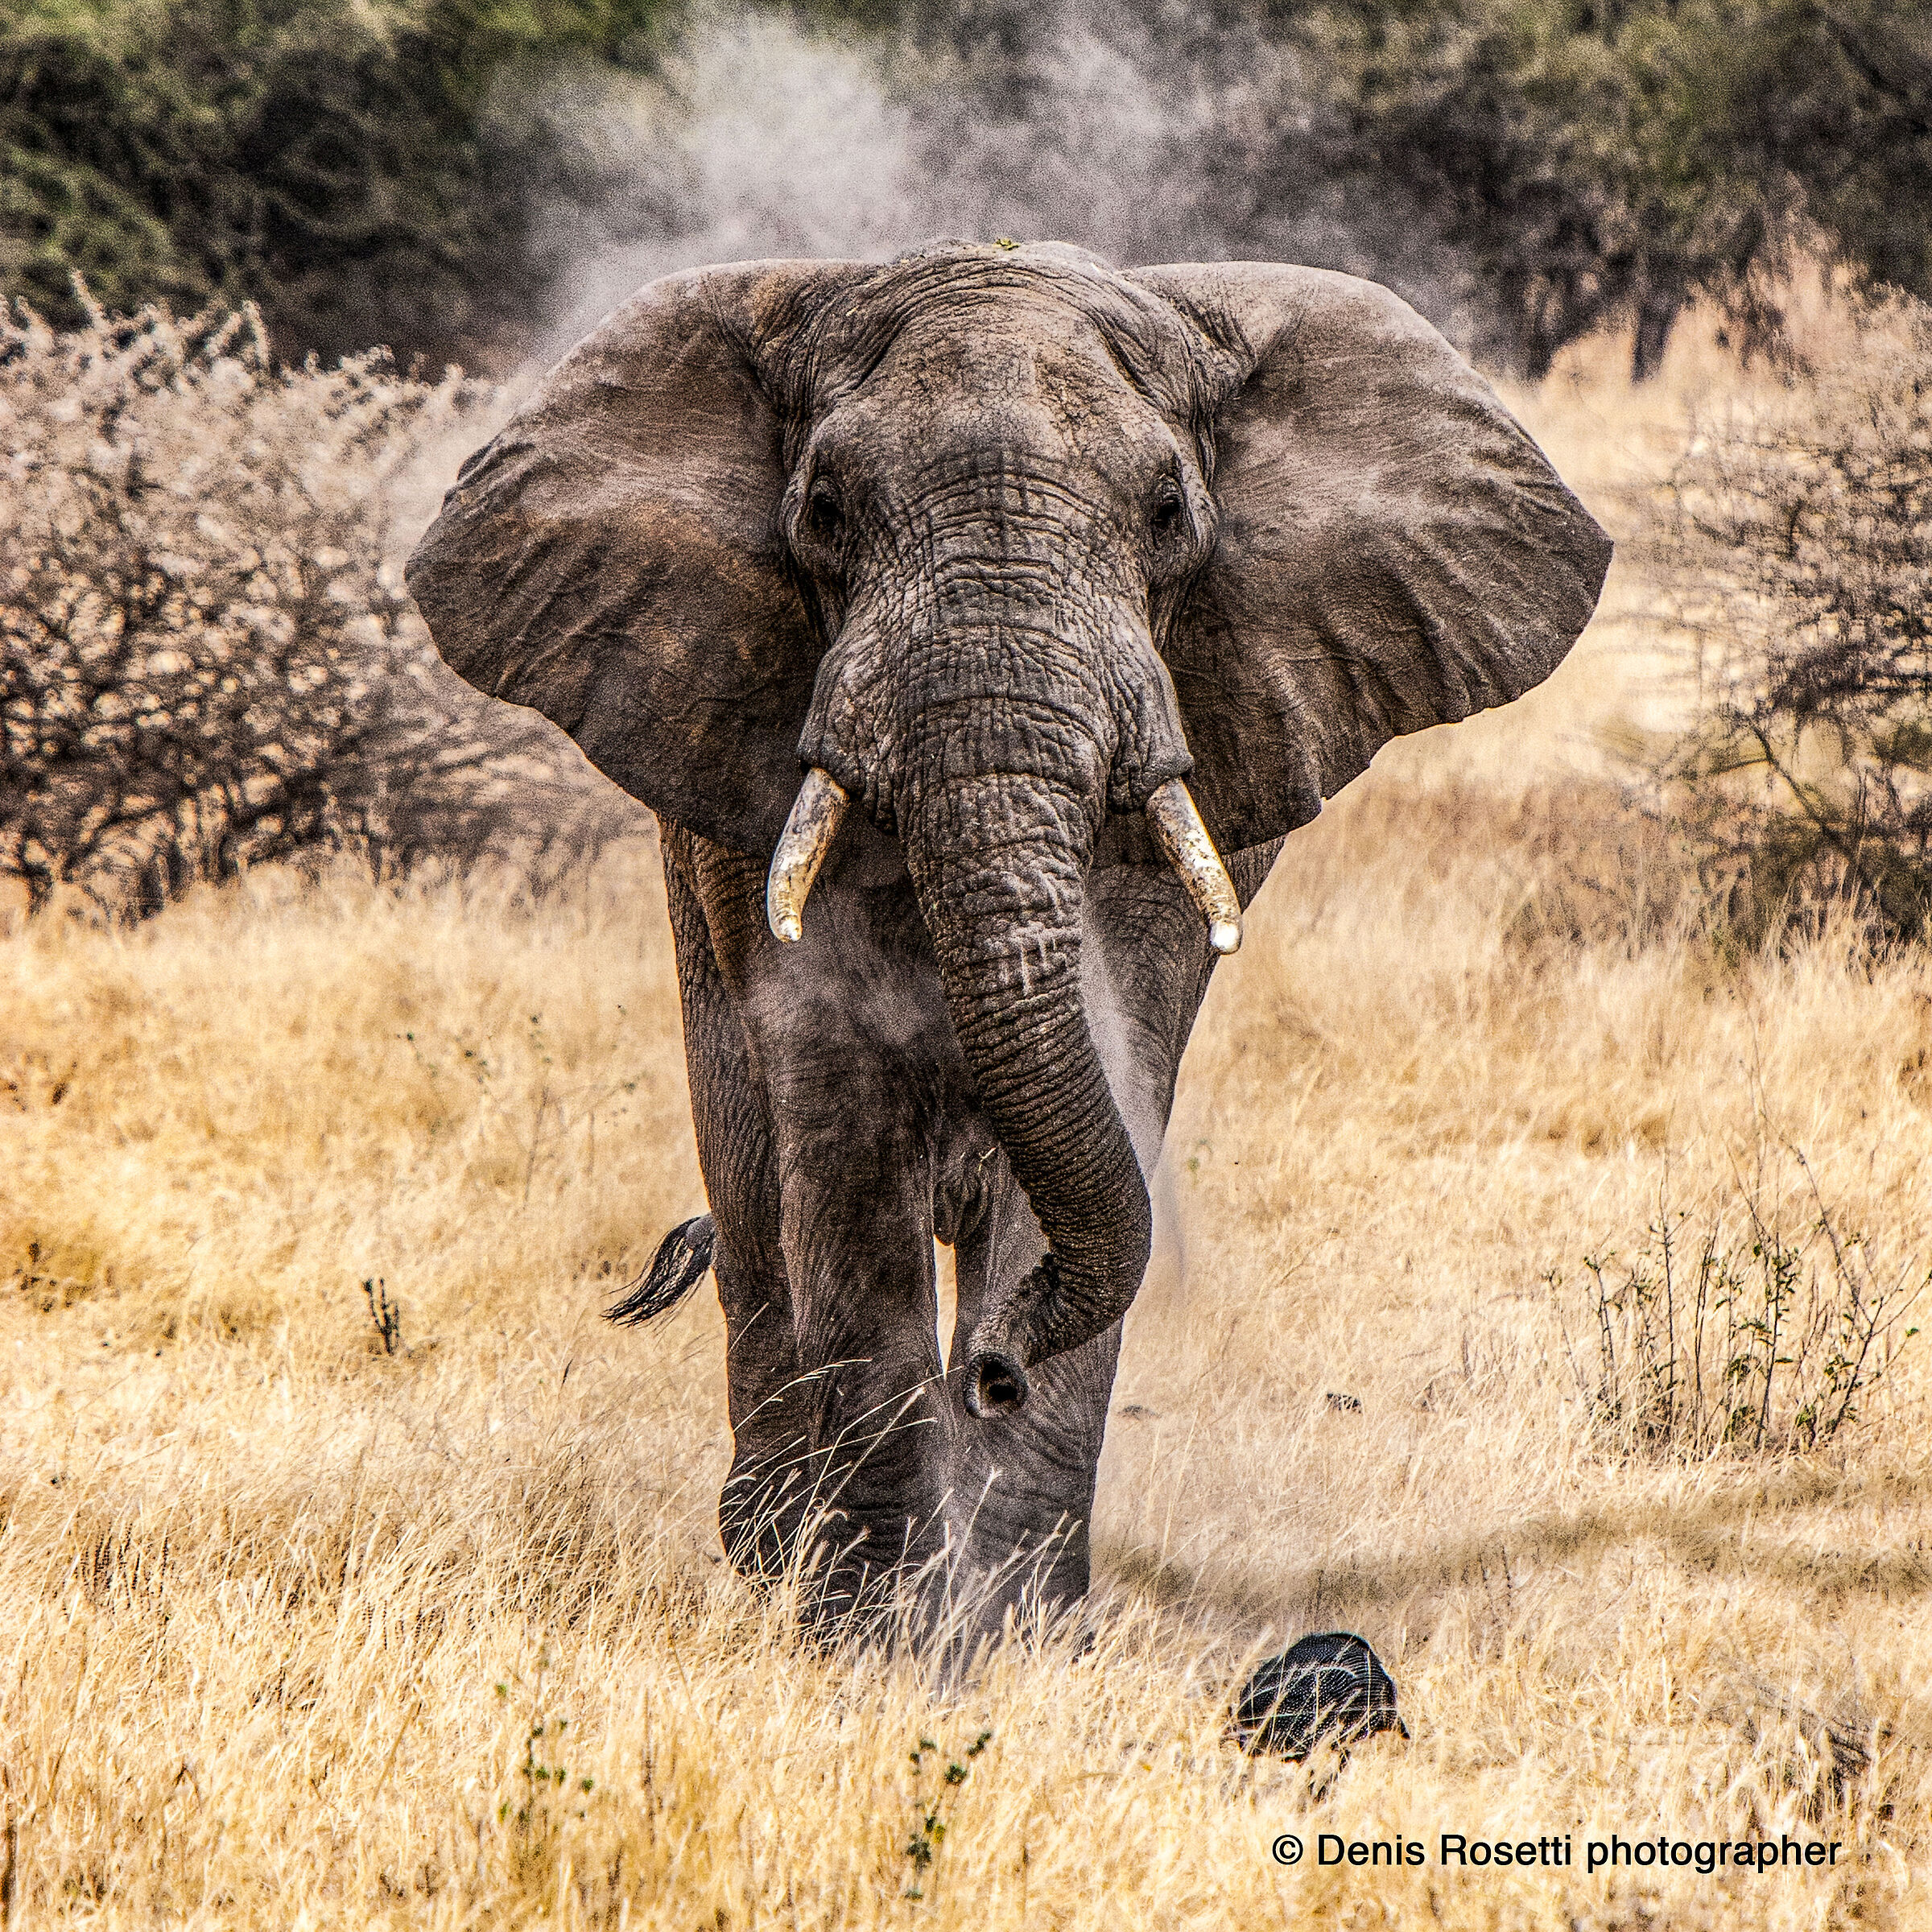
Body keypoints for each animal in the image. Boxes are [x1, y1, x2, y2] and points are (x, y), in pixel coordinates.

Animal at [406, 239, 1610, 1642]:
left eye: (1168, 513)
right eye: (823, 509)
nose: (993, 1370)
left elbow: (1102, 1085)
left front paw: (1012, 1633)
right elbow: (840, 1129)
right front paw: (876, 1637)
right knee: (753, 1194)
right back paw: (772, 1544)